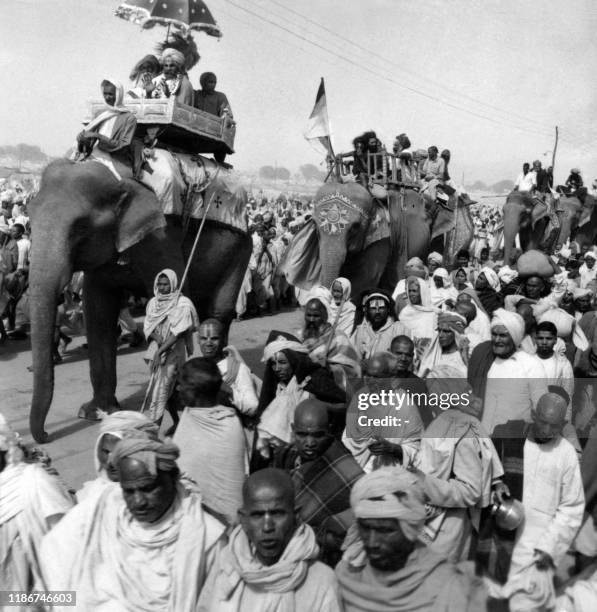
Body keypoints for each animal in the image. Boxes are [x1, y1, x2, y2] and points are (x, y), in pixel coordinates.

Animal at [28, 160, 250, 442]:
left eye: (81, 227)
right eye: (30, 217)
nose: (46, 435)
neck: (119, 177)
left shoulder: (159, 238)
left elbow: (181, 296)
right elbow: (98, 312)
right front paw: (95, 413)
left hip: (241, 250)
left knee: (218, 313)